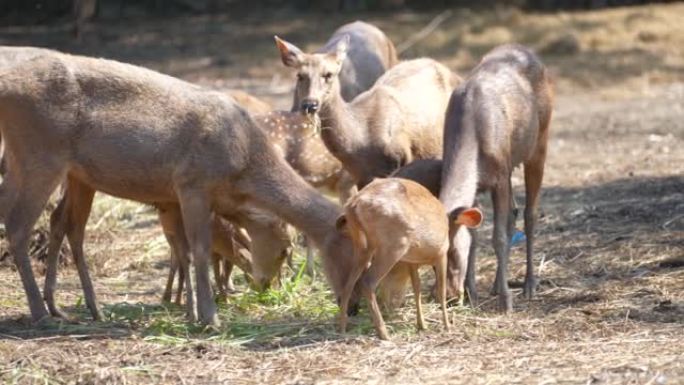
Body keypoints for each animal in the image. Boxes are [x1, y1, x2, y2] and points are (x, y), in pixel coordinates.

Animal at [0, 52, 356, 326]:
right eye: (284, 249)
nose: (351, 305)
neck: (242, 166)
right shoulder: (192, 183)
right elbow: (199, 249)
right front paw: (209, 318)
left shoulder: (177, 196)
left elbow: (184, 251)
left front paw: (191, 311)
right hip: (40, 154)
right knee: (18, 225)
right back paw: (40, 312)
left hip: (67, 172)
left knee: (62, 224)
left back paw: (78, 308)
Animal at [438, 43, 556, 310]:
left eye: (452, 253)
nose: (447, 296)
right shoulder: (480, 185)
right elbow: (475, 234)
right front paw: (471, 292)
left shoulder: (499, 175)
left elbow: (498, 236)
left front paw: (506, 301)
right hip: (510, 162)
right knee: (513, 212)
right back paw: (495, 284)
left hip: (539, 141)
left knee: (530, 213)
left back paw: (529, 285)